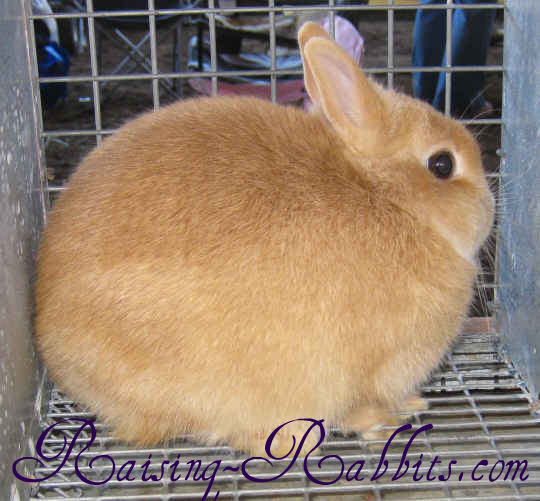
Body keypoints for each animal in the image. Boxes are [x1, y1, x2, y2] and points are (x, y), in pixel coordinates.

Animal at [33, 21, 494, 456]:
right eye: (442, 164)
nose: (490, 208)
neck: (388, 198)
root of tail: (53, 346)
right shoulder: (363, 372)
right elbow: (360, 408)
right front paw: (383, 424)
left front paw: (413, 403)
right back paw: (296, 443)